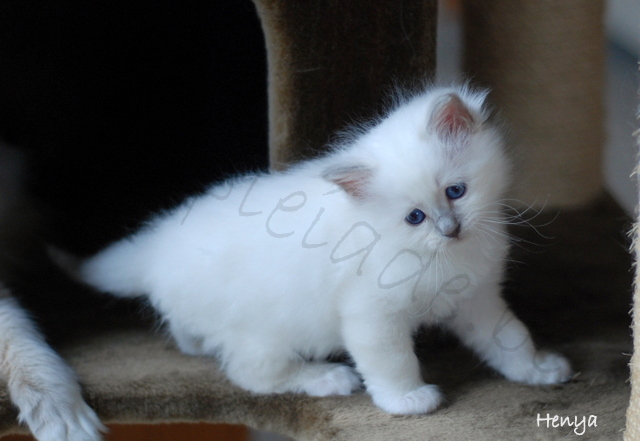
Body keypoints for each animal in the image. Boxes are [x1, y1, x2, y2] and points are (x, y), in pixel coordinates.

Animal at [74, 86, 568, 412]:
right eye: (415, 218)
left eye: (456, 191)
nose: (450, 229)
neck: (446, 257)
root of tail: (156, 244)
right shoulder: (372, 315)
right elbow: (392, 363)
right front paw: (409, 401)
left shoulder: (477, 298)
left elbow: (511, 338)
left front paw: (539, 372)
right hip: (264, 332)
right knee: (251, 374)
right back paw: (327, 378)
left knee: (192, 337)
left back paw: (194, 344)